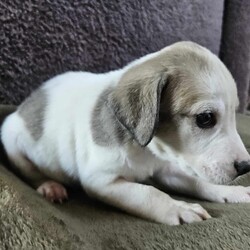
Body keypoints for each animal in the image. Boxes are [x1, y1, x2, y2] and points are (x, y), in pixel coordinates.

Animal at [1, 41, 250, 225]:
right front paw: (178, 207)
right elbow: (149, 193)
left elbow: (196, 182)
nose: (245, 166)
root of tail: (25, 103)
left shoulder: (167, 170)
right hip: (12, 141)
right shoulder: (102, 181)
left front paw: (230, 192)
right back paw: (50, 187)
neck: (146, 149)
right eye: (205, 118)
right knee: (30, 172)